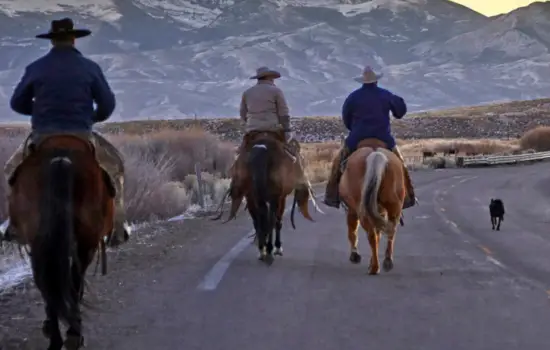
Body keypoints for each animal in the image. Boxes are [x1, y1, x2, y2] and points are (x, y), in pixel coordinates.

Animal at [8, 135, 116, 350]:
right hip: (85, 243)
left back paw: (57, 337)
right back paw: (73, 334)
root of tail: (61, 158)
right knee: (73, 280)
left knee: (48, 282)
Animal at [338, 138, 408, 274]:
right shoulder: (379, 212)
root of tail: (376, 155)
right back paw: (387, 261)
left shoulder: (351, 210)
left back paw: (375, 267)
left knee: (371, 234)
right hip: (393, 206)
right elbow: (379, 233)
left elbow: (352, 231)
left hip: (362, 210)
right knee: (391, 230)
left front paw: (355, 255)